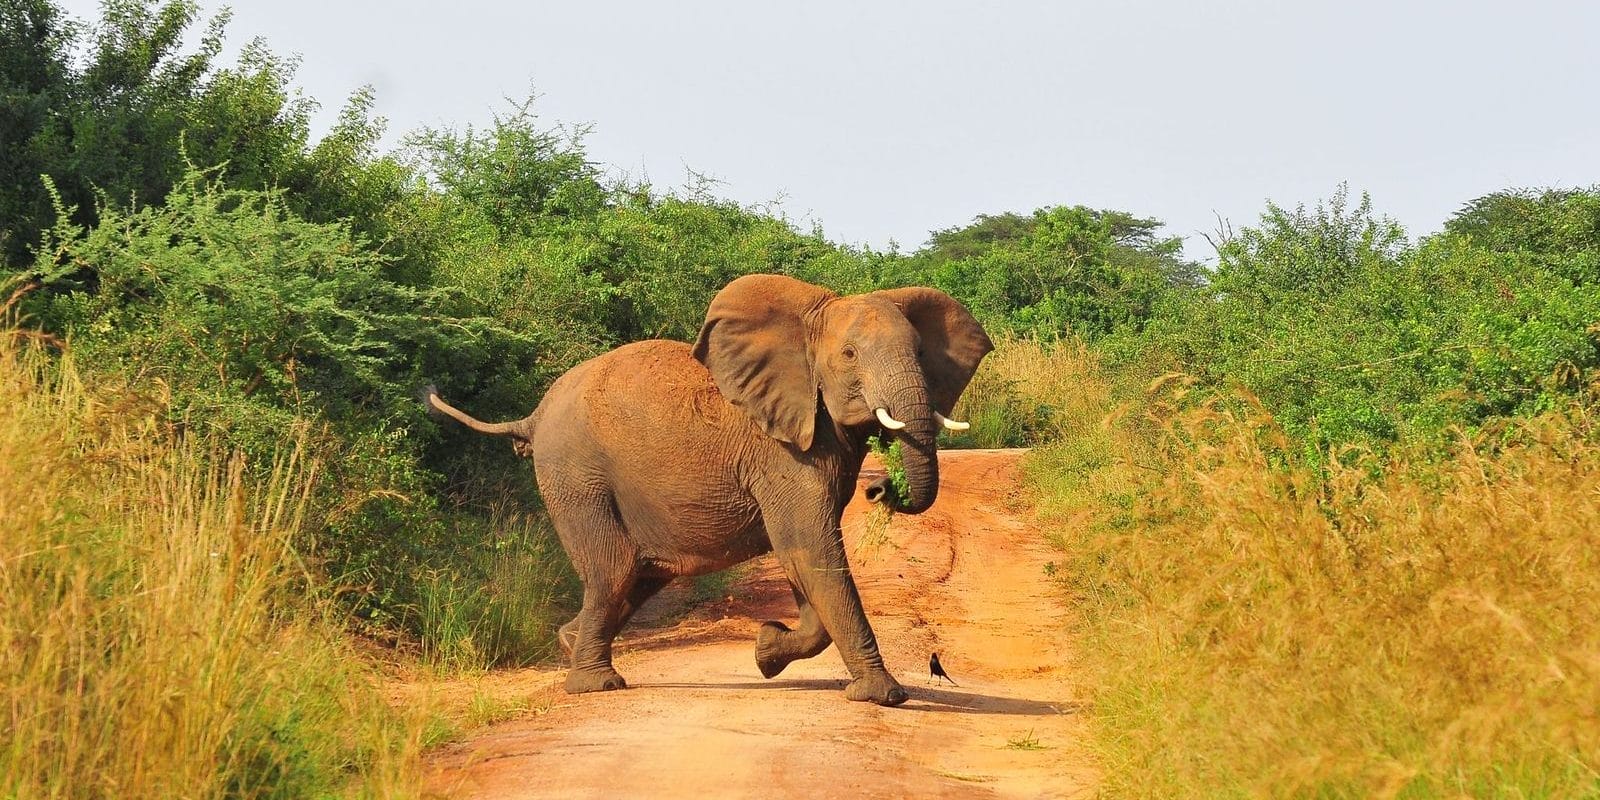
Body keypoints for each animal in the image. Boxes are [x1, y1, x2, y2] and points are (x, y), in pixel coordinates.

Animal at [425, 275, 985, 707]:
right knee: (613, 568)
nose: (881, 490)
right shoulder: (782, 451)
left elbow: (802, 557)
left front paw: (766, 652)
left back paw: (570, 643)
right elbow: (809, 547)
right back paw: (596, 685)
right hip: (576, 473)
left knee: (642, 572)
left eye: (921, 353)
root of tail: (534, 416)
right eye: (849, 355)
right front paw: (883, 697)